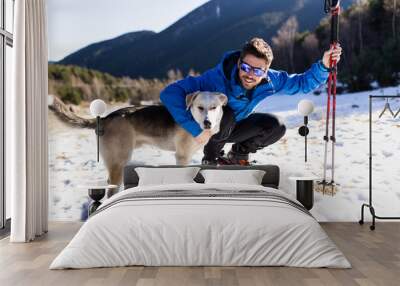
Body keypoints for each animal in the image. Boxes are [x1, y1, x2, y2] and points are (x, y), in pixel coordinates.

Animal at [48, 91, 227, 185]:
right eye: (200, 107)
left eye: (214, 107)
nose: (207, 123)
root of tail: (106, 118)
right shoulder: (182, 157)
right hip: (118, 163)